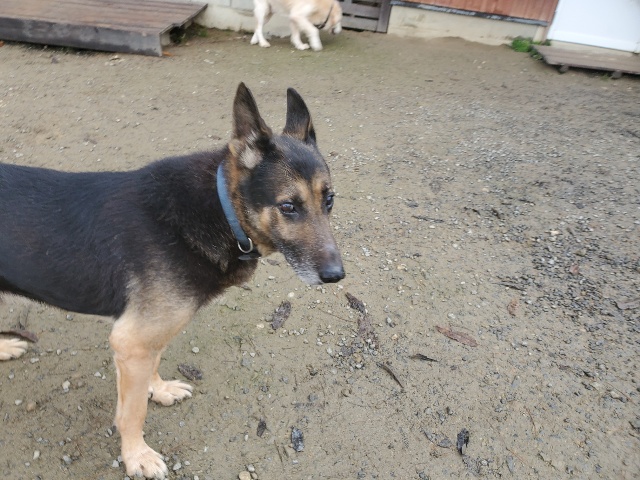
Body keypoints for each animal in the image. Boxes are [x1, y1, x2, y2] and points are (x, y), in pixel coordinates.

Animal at [0, 83, 344, 479]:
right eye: (288, 207)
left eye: (329, 200)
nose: (336, 276)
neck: (221, 210)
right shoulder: (132, 341)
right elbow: (132, 412)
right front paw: (136, 456)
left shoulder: (148, 337)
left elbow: (154, 364)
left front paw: (159, 389)